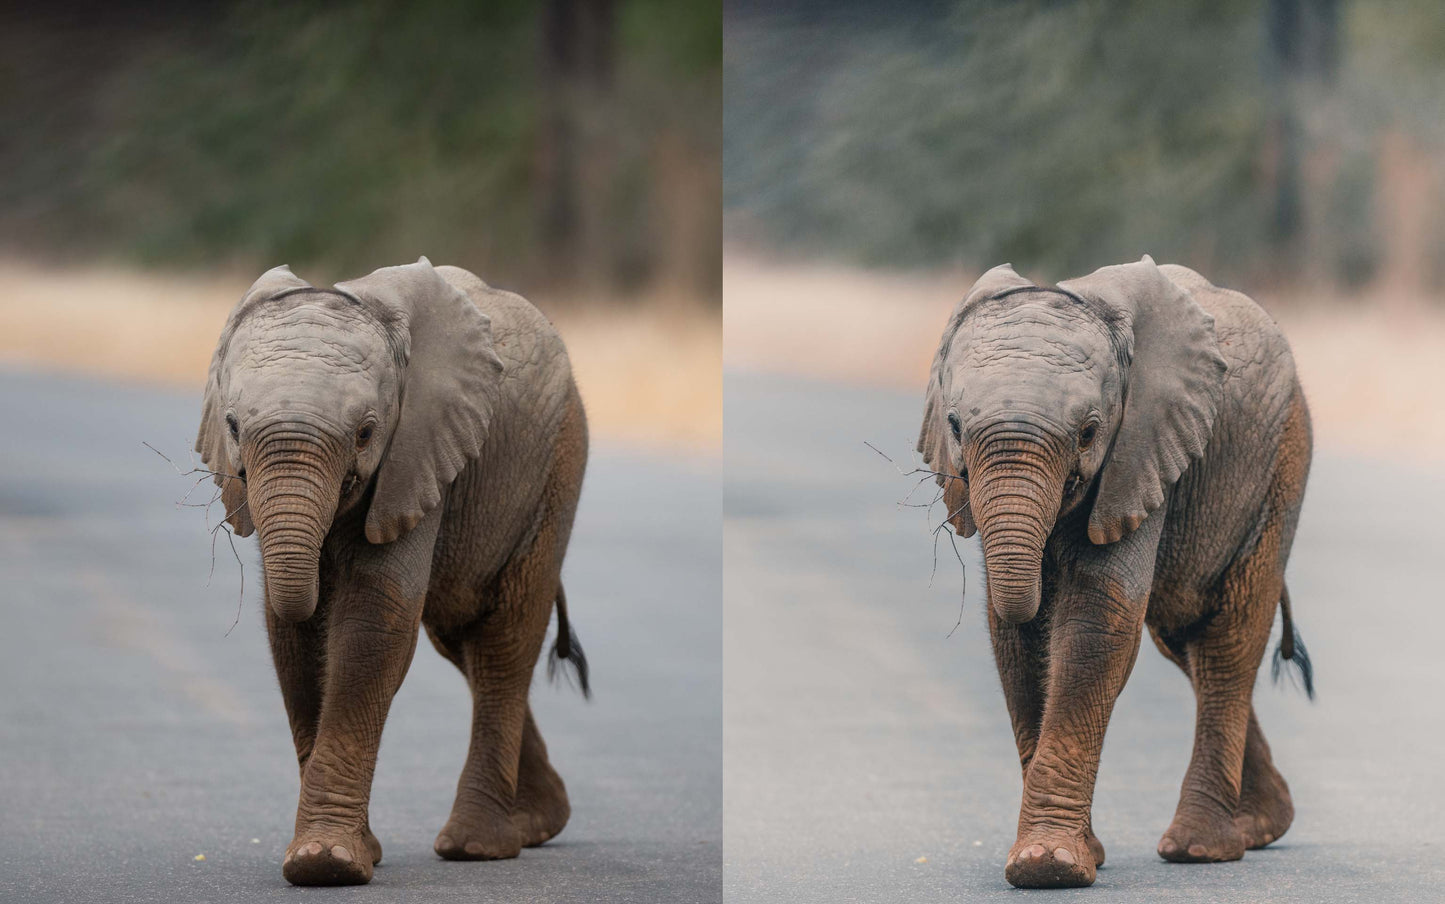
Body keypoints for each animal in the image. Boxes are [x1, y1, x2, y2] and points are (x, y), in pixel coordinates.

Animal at [195, 258, 590, 886]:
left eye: (365, 433)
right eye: (232, 427)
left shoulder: (419, 456)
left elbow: (372, 623)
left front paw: (325, 864)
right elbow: (295, 635)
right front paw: (347, 854)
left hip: (556, 464)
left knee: (504, 640)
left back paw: (477, 845)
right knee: (462, 640)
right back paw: (540, 822)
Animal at [916, 256, 1314, 889]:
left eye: (1088, 432)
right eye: (954, 427)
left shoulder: (1141, 454)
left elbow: (1095, 623)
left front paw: (1047, 867)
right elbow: (1018, 636)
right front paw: (1074, 856)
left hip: (1281, 460)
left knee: (1228, 638)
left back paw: (1200, 847)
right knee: (1184, 641)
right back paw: (1263, 825)